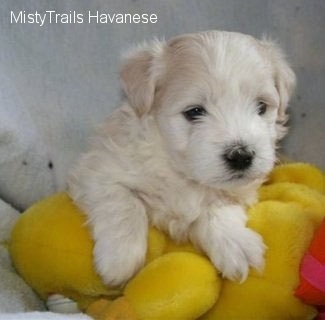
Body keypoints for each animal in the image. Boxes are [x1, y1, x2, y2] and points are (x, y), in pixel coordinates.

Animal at [69, 30, 296, 284]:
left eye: (261, 107)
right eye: (194, 112)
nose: (241, 156)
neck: (181, 172)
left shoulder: (237, 192)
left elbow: (217, 209)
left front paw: (236, 244)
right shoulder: (98, 170)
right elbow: (123, 202)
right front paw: (119, 258)